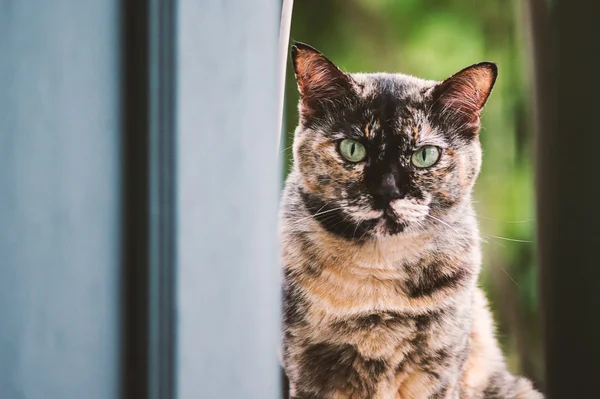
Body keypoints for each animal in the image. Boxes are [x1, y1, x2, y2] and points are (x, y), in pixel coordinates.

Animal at [278, 41, 540, 399]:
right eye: (352, 149)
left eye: (425, 155)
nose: (387, 190)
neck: (377, 276)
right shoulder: (306, 369)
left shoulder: (438, 373)